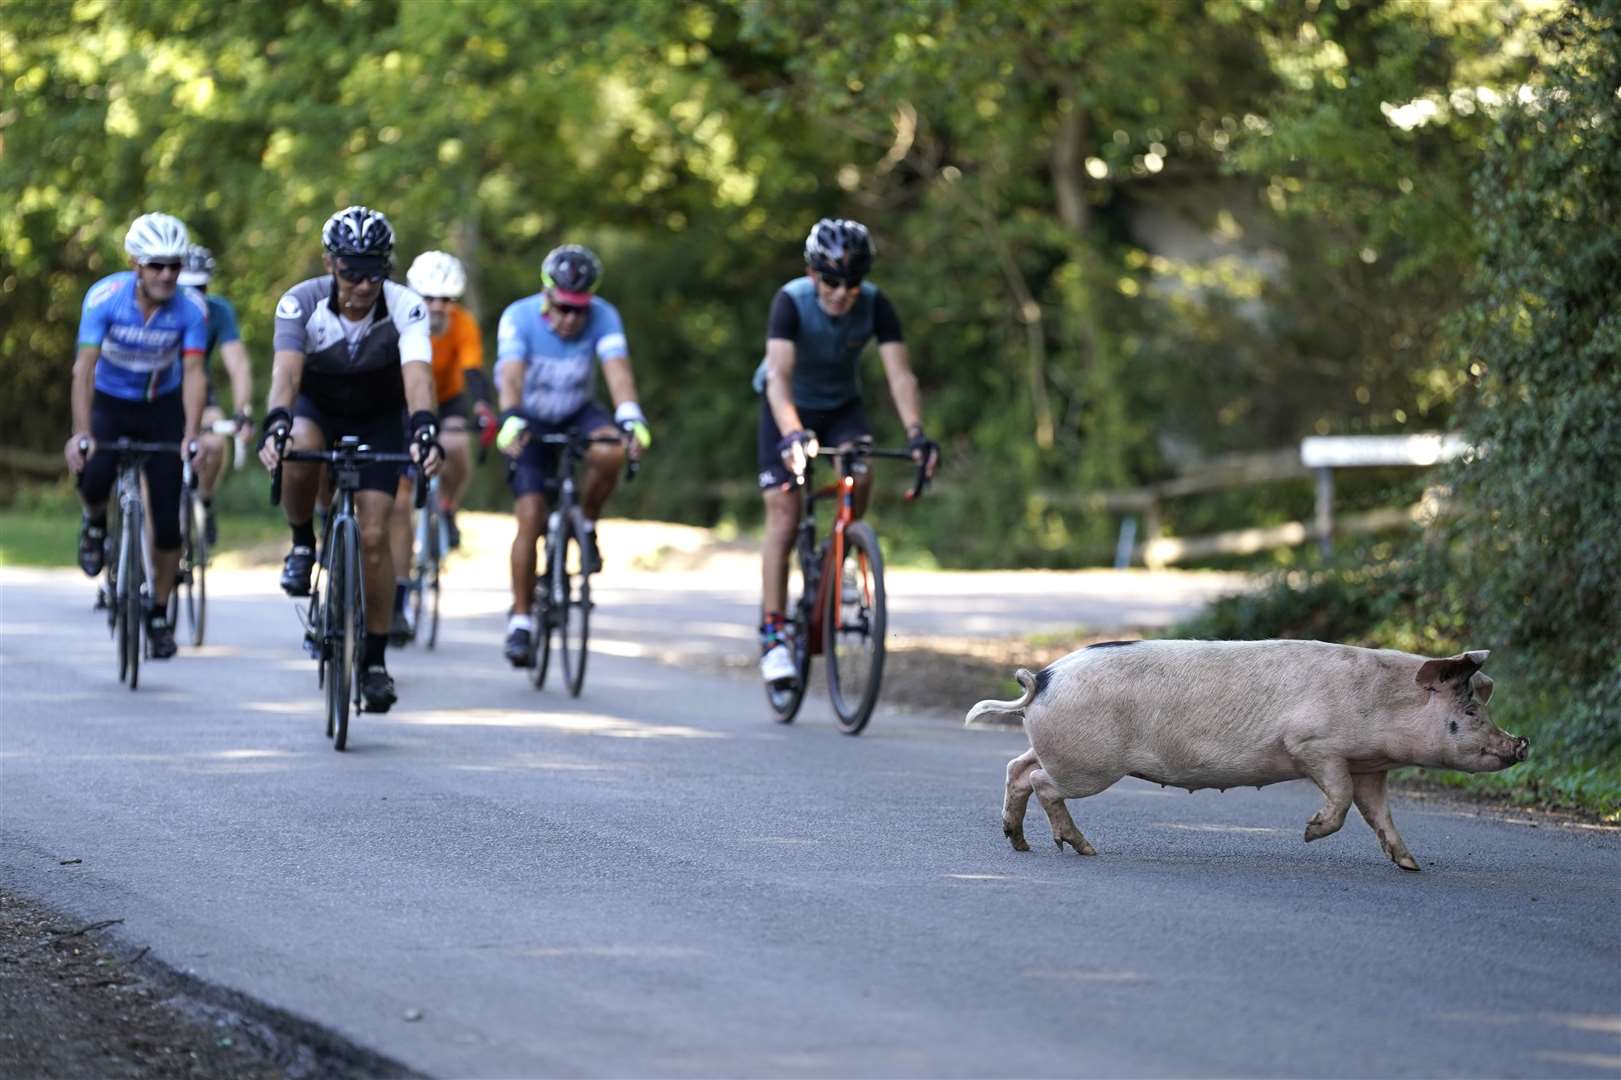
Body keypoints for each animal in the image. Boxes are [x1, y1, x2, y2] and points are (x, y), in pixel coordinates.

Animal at [966, 638, 1523, 869]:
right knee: (1041, 782)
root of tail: (1042, 678)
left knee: (1017, 768)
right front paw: (1308, 833)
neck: (1381, 703)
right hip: (1088, 766)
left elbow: (1379, 814)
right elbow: (1341, 798)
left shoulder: (1371, 768)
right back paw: (1083, 849)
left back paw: (1020, 844)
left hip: (1059, 752)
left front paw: (1410, 865)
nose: (1520, 744)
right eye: (1469, 710)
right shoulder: (1312, 745)